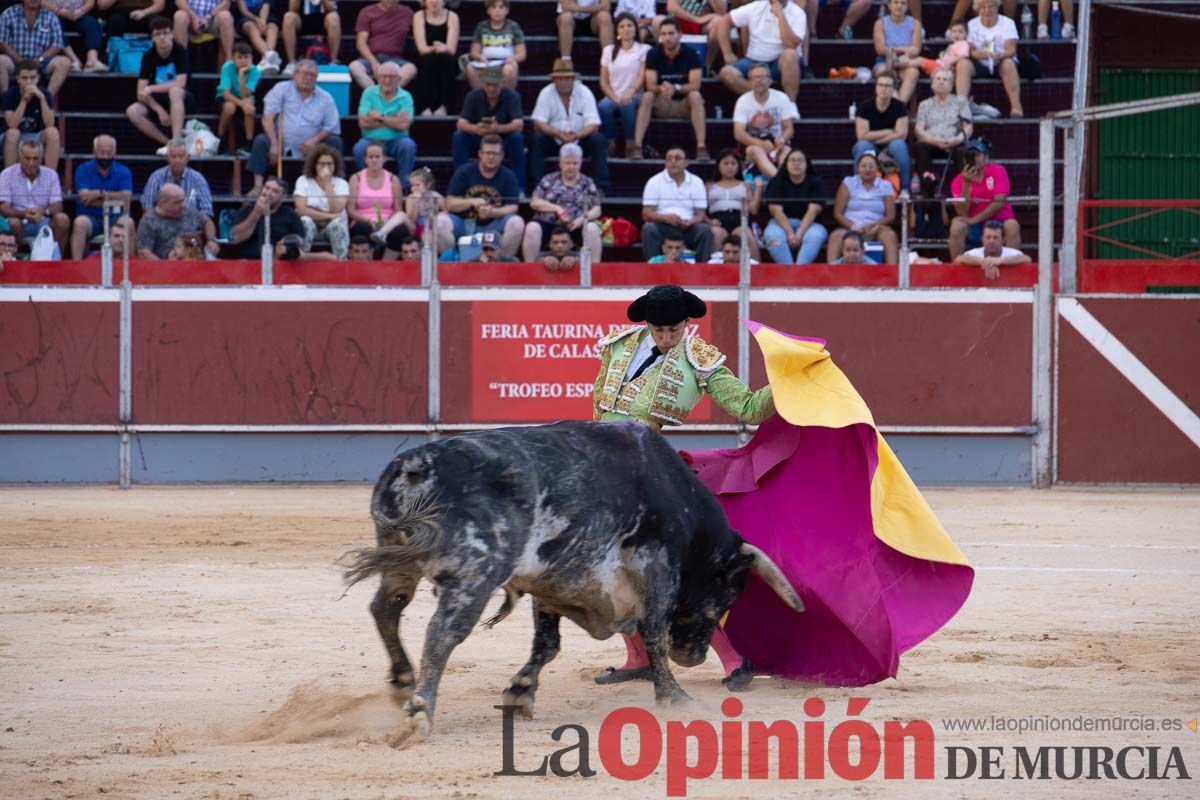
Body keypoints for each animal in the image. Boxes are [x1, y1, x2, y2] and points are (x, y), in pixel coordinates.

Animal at [343, 422, 801, 748]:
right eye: (730, 592)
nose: (693, 656)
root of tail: (416, 465)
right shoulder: (656, 571)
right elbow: (653, 632)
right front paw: (674, 698)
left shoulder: (554, 581)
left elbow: (547, 644)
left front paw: (521, 693)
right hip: (476, 574)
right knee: (442, 634)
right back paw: (420, 713)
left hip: (401, 559)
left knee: (385, 608)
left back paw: (403, 682)